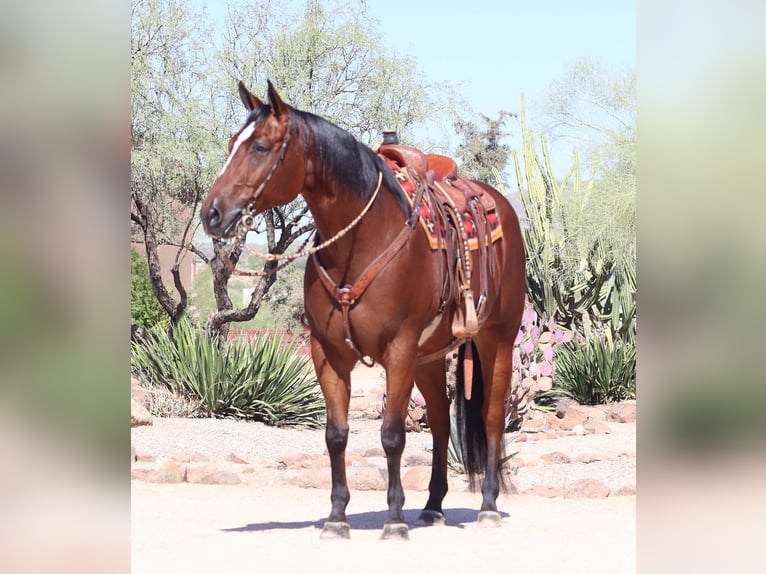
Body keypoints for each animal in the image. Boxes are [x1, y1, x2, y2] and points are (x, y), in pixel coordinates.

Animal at [200, 82, 528, 544]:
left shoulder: (399, 349)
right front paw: (337, 517)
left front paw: (393, 519)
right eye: (232, 144)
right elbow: (336, 436)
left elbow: (392, 436)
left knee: (492, 417)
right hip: (428, 357)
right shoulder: (328, 353)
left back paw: (488, 506)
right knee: (441, 422)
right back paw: (433, 506)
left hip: (496, 339)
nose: (212, 213)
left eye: (260, 147)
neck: (361, 242)